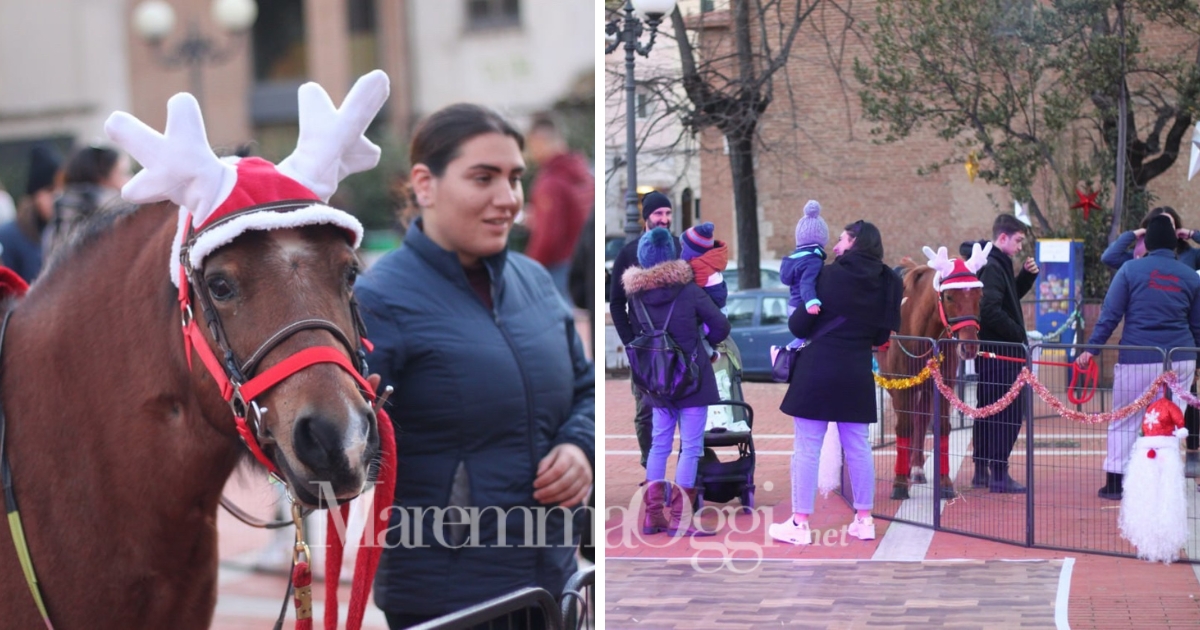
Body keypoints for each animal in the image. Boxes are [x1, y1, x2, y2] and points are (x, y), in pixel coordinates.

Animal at [883, 243, 984, 499]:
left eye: (979, 295)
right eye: (949, 296)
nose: (969, 346)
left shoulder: (943, 385)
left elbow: (942, 427)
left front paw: (945, 483)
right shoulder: (901, 386)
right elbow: (904, 426)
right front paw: (899, 483)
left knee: (921, 419)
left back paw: (917, 467)